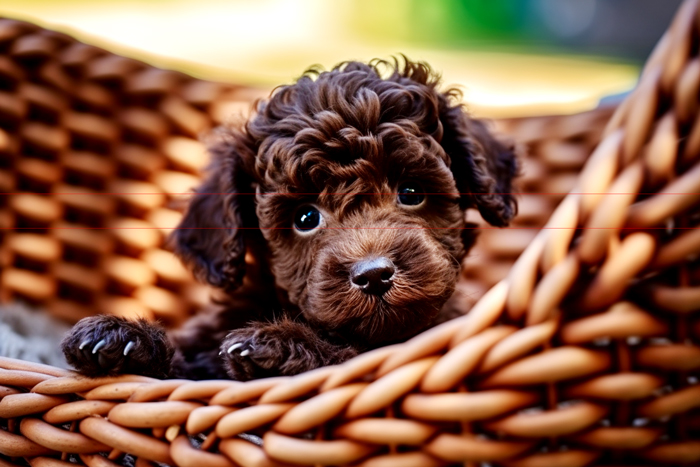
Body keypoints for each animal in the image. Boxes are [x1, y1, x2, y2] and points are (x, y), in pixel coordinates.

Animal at [61, 58, 520, 382]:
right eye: (305, 217)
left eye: (410, 193)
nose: (374, 274)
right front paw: (123, 338)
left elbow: (345, 358)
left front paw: (276, 346)